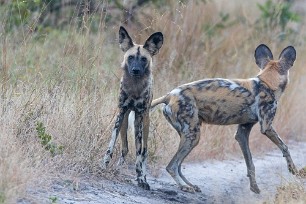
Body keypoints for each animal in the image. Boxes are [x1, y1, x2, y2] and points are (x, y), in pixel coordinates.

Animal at [103, 25, 164, 190]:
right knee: (125, 148)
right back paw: (117, 168)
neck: (134, 88)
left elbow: (138, 153)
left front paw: (141, 178)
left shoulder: (139, 117)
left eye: (143, 59)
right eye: (130, 57)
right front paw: (104, 165)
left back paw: (143, 176)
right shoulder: (120, 113)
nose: (135, 70)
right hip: (125, 122)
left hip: (144, 123)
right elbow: (111, 145)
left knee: (143, 151)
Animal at [152, 44, 298, 193]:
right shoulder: (267, 127)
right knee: (171, 166)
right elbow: (285, 147)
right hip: (193, 135)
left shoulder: (242, 133)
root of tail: (169, 95)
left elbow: (250, 163)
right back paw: (184, 186)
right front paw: (293, 169)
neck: (267, 82)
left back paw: (190, 185)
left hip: (189, 136)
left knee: (179, 165)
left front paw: (254, 187)